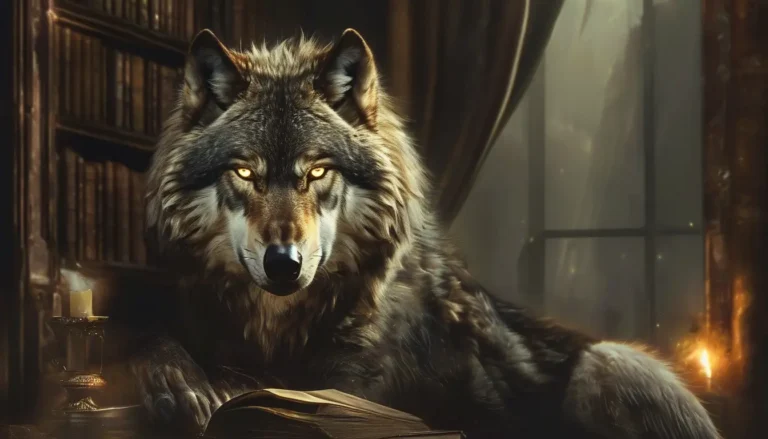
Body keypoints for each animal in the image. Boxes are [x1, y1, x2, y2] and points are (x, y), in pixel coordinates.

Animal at [121, 28, 721, 438]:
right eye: (245, 173)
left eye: (318, 171)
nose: (284, 263)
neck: (281, 328)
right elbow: (153, 339)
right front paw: (179, 380)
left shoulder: (357, 389)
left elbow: (273, 393)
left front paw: (221, 392)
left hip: (613, 362)